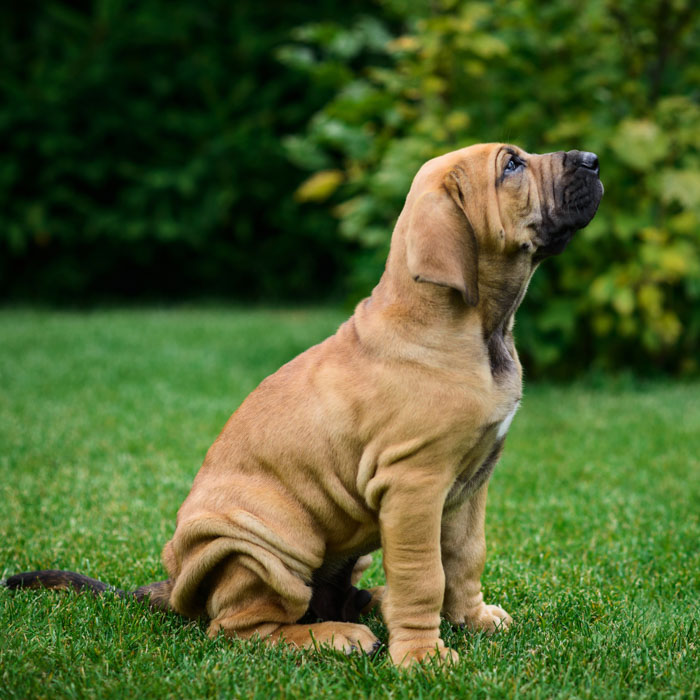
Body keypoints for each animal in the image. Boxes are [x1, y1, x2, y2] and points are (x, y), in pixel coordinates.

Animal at [1, 142, 600, 668]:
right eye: (511, 165)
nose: (593, 159)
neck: (475, 329)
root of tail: (174, 586)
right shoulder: (414, 486)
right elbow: (424, 574)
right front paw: (423, 656)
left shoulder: (469, 485)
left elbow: (464, 558)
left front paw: (471, 621)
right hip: (267, 544)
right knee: (239, 627)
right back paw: (337, 636)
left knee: (344, 594)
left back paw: (369, 607)